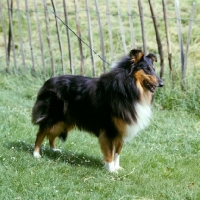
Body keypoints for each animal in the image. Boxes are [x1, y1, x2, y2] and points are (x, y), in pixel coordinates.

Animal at [31, 48, 162, 172]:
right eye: (147, 69)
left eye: (153, 69)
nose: (162, 83)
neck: (128, 87)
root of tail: (49, 81)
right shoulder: (110, 129)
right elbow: (110, 150)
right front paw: (111, 169)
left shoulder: (122, 128)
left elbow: (117, 152)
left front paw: (117, 168)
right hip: (54, 116)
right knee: (41, 132)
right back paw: (36, 153)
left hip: (65, 120)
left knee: (51, 134)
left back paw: (54, 150)